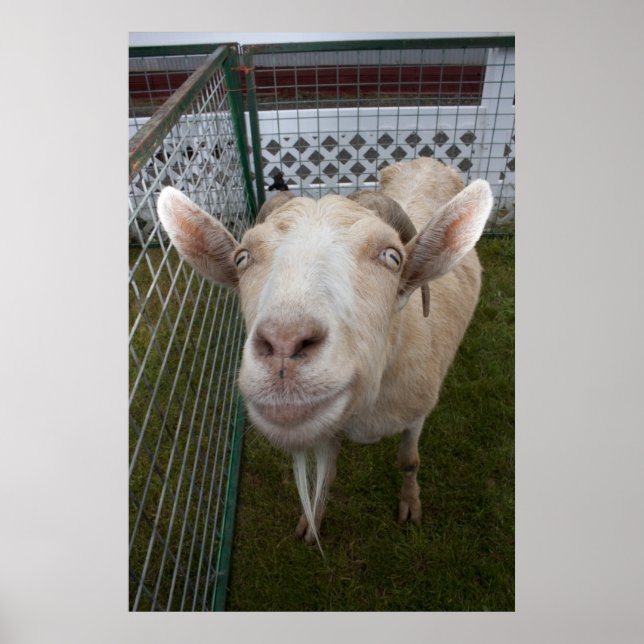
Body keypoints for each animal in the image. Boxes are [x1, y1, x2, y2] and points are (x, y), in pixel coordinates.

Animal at [157, 158, 493, 546]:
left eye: (392, 257)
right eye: (242, 258)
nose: (284, 344)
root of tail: (426, 161)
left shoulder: (417, 413)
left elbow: (409, 461)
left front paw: (410, 506)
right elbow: (326, 475)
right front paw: (311, 522)